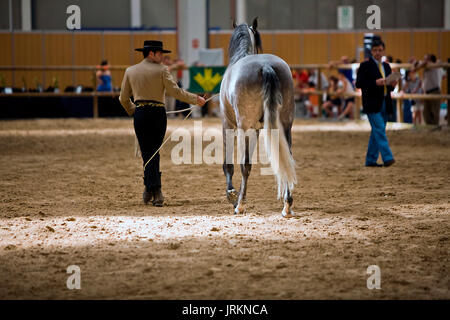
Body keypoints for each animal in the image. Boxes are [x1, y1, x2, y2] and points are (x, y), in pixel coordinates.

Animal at [219, 17, 298, 218]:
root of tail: (266, 66)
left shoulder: (228, 125)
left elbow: (230, 164)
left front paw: (232, 194)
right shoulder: (255, 129)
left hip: (243, 126)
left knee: (244, 164)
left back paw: (240, 204)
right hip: (285, 126)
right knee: (287, 159)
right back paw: (287, 205)